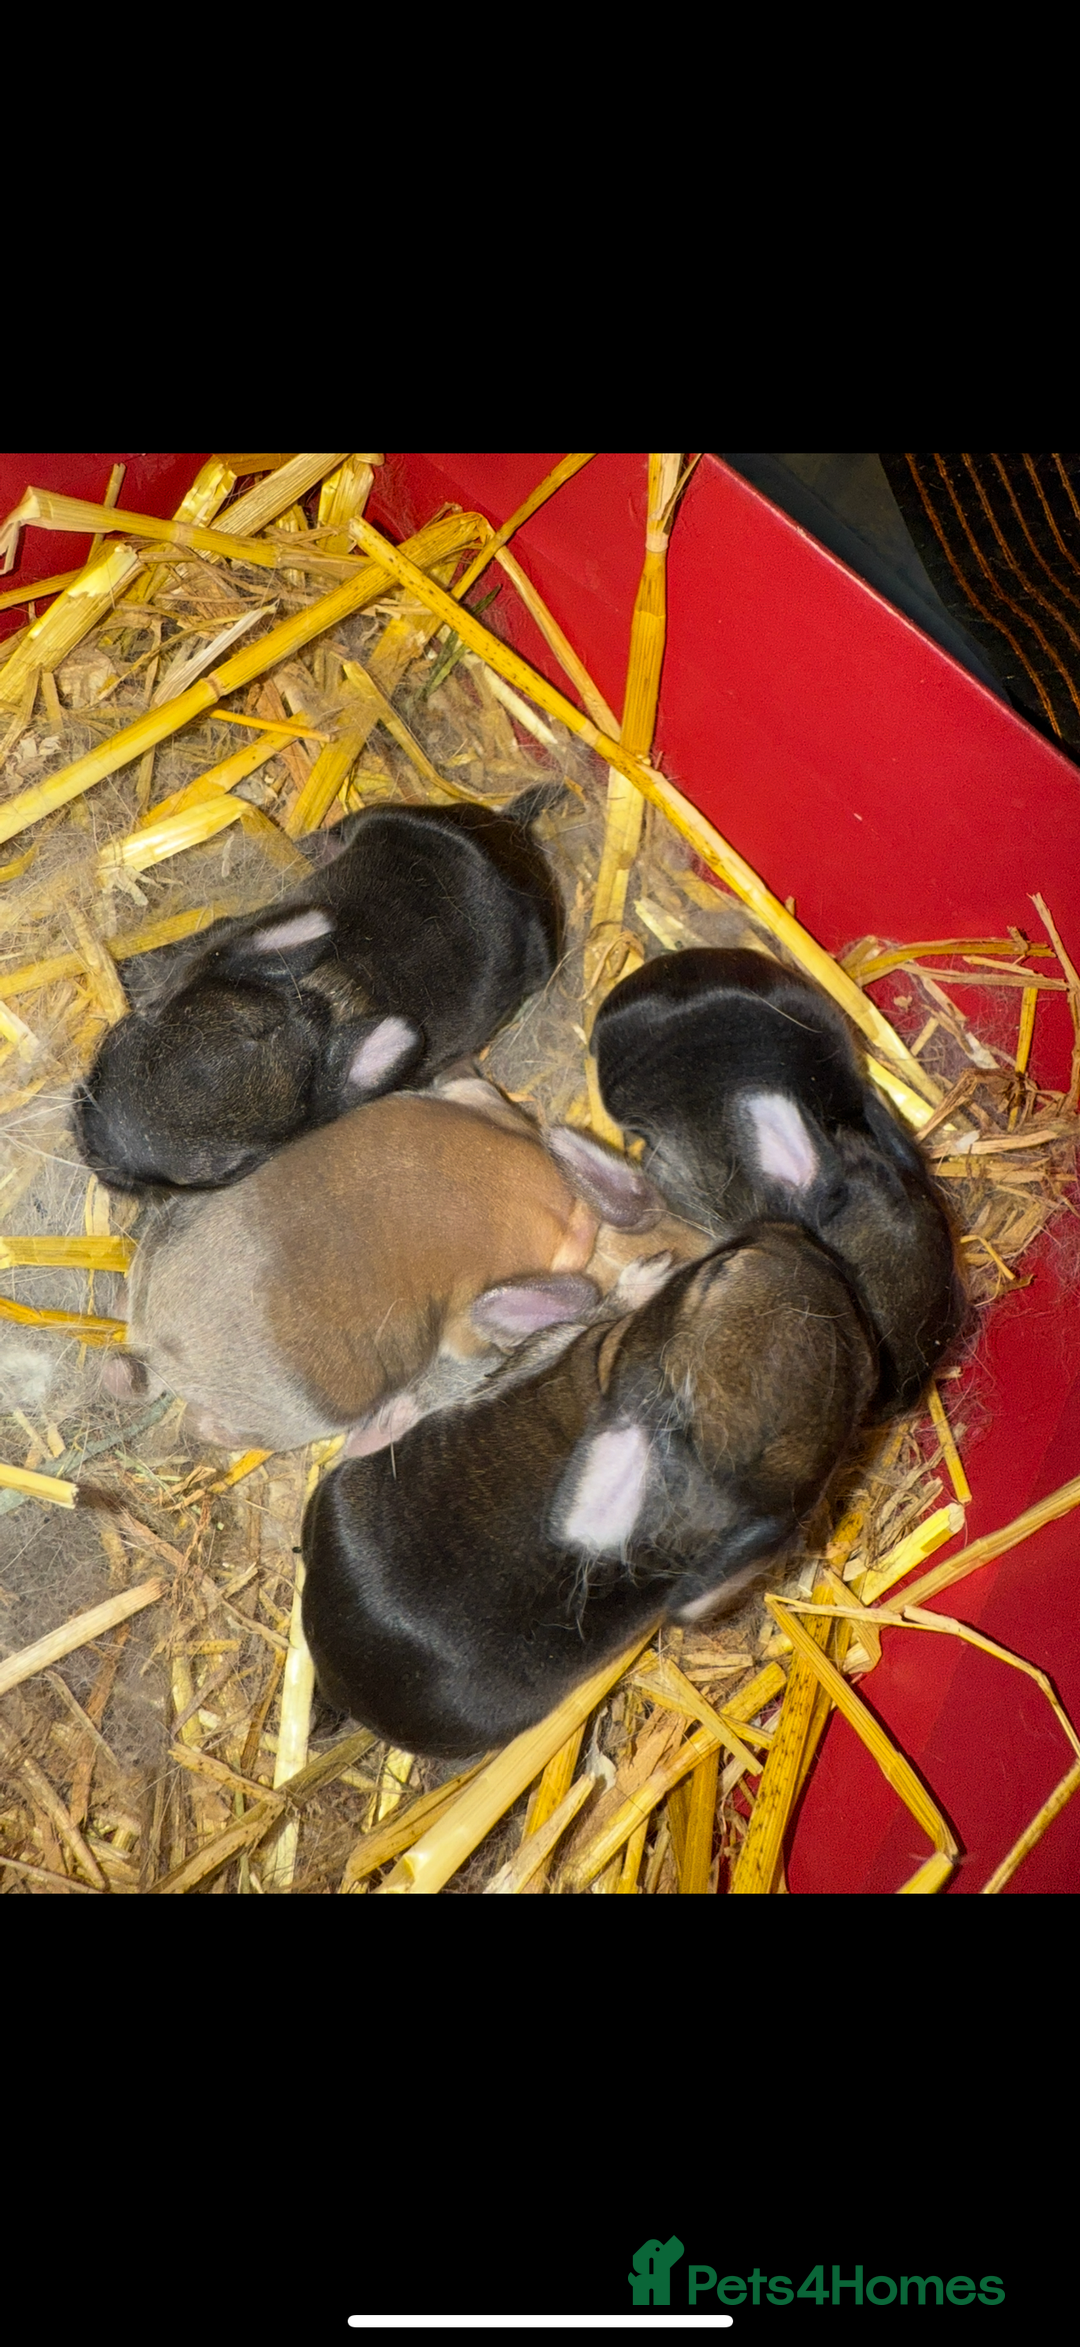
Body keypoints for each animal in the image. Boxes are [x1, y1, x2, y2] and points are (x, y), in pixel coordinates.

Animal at [73, 788, 566, 1194]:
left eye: (228, 1172)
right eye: (124, 1033)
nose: (89, 1144)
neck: (327, 995)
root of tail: (511, 833)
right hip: (384, 815)